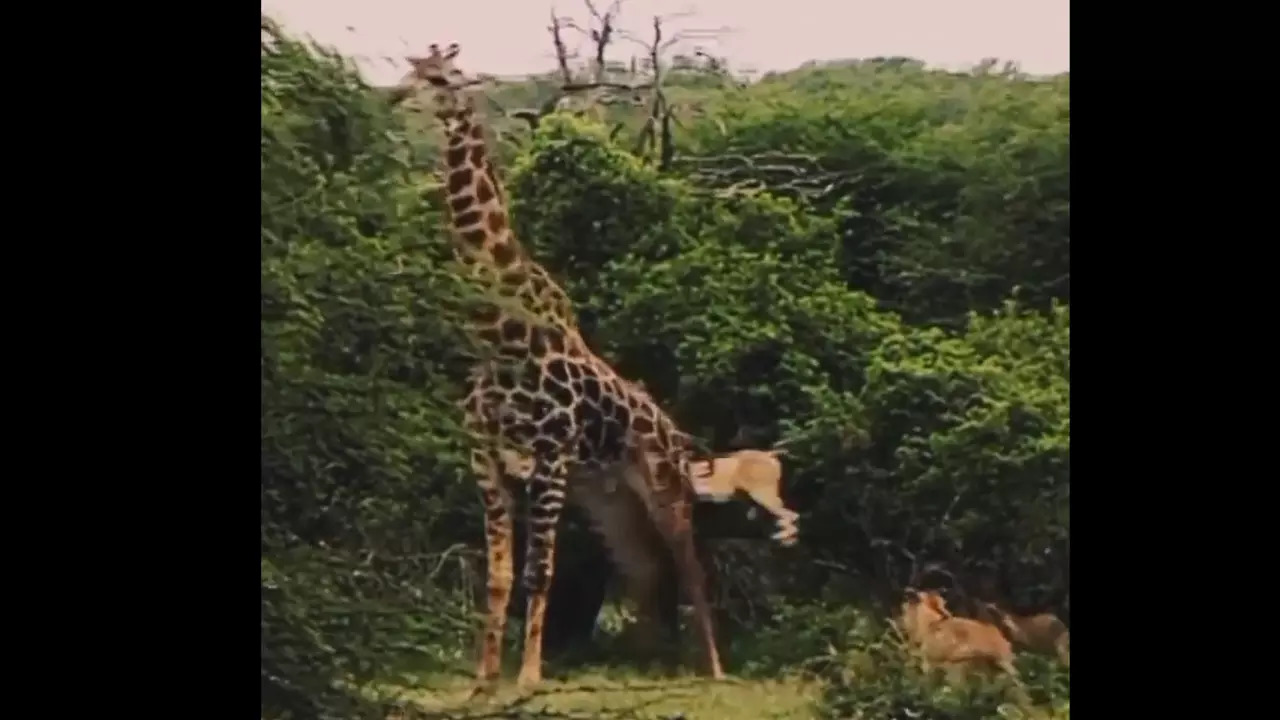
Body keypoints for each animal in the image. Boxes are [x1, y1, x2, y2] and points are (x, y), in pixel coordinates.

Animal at [391, 41, 721, 686]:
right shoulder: (485, 454)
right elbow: (497, 575)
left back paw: (713, 671)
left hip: (663, 485)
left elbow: (538, 570)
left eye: (439, 79)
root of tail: (674, 429)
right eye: (408, 71)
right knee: (645, 568)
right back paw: (652, 662)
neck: (501, 338)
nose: (394, 101)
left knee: (690, 565)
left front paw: (527, 676)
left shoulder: (550, 455)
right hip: (609, 498)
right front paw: (482, 681)